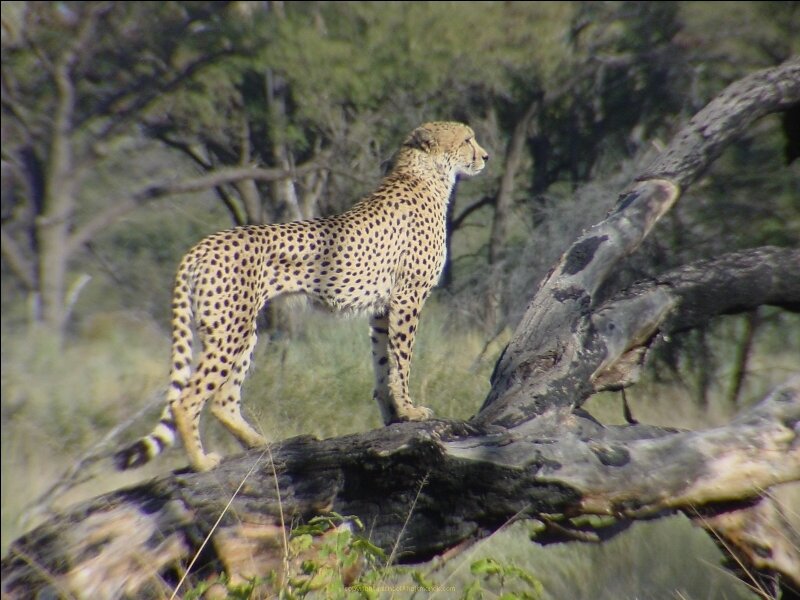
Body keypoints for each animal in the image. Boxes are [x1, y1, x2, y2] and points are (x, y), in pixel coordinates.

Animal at [114, 121, 489, 472]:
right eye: (467, 140)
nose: (485, 156)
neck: (425, 173)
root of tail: (203, 244)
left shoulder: (383, 308)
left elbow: (384, 363)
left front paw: (393, 415)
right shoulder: (408, 297)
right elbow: (403, 360)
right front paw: (411, 411)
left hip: (240, 331)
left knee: (222, 399)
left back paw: (259, 443)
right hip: (230, 330)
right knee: (187, 399)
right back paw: (202, 462)